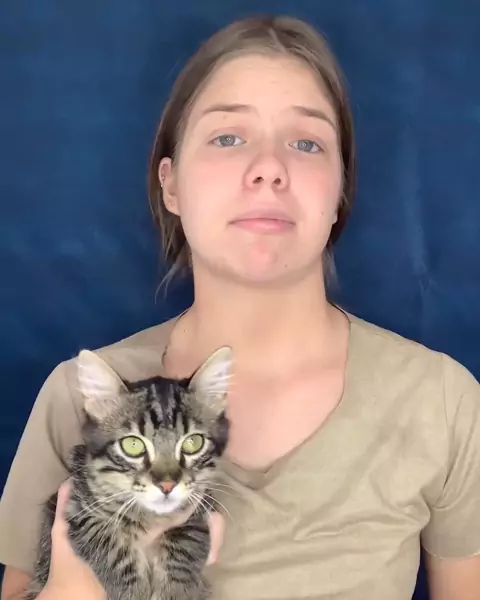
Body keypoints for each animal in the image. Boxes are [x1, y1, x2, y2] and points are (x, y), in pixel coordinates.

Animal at [26, 345, 233, 600]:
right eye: (133, 445)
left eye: (193, 443)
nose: (167, 485)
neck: (150, 516)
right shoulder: (78, 510)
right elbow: (114, 555)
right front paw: (133, 592)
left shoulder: (199, 510)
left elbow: (184, 549)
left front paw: (175, 591)